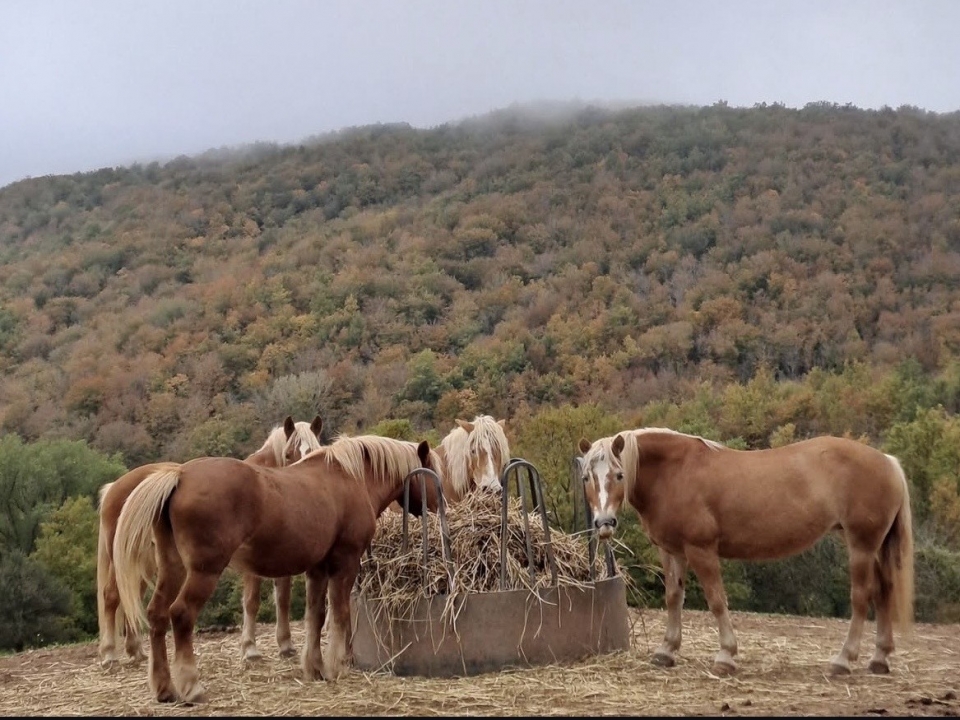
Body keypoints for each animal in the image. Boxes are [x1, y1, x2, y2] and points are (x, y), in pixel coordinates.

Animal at [96, 414, 324, 668]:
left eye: (315, 450)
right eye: (288, 454)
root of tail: (114, 487)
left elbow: (283, 599)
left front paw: (285, 645)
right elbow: (252, 601)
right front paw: (250, 649)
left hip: (146, 563)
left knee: (131, 597)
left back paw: (135, 651)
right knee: (112, 596)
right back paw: (110, 654)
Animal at [112, 433, 441, 704]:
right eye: (432, 474)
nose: (442, 506)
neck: (349, 479)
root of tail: (180, 475)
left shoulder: (316, 570)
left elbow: (315, 617)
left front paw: (315, 667)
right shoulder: (344, 563)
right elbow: (340, 614)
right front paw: (336, 666)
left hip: (173, 568)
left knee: (156, 616)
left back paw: (164, 688)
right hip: (204, 571)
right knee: (181, 615)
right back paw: (192, 688)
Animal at [576, 428, 915, 677]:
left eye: (619, 475)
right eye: (586, 478)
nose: (604, 523)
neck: (674, 473)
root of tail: (888, 461)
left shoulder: (701, 550)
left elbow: (716, 600)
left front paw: (726, 656)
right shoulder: (672, 552)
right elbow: (674, 597)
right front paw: (666, 651)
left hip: (861, 546)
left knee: (862, 597)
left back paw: (843, 660)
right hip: (874, 547)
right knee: (884, 591)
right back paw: (879, 658)